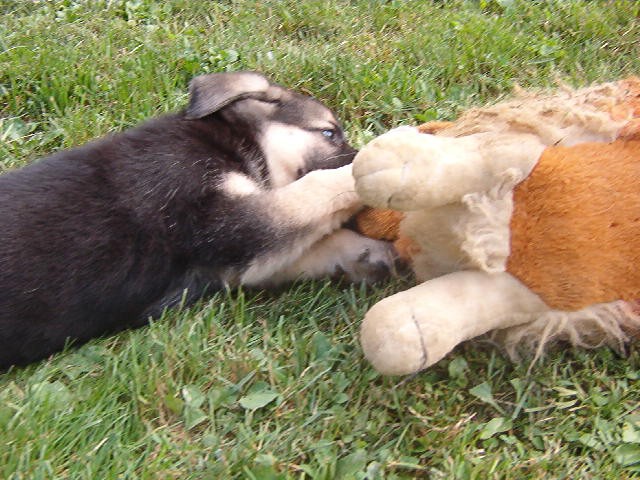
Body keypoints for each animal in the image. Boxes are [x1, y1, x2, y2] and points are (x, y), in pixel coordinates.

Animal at [0, 71, 392, 368]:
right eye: (328, 133)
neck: (230, 143)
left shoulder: (228, 262)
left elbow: (311, 244)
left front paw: (370, 254)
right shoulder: (225, 222)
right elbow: (315, 192)